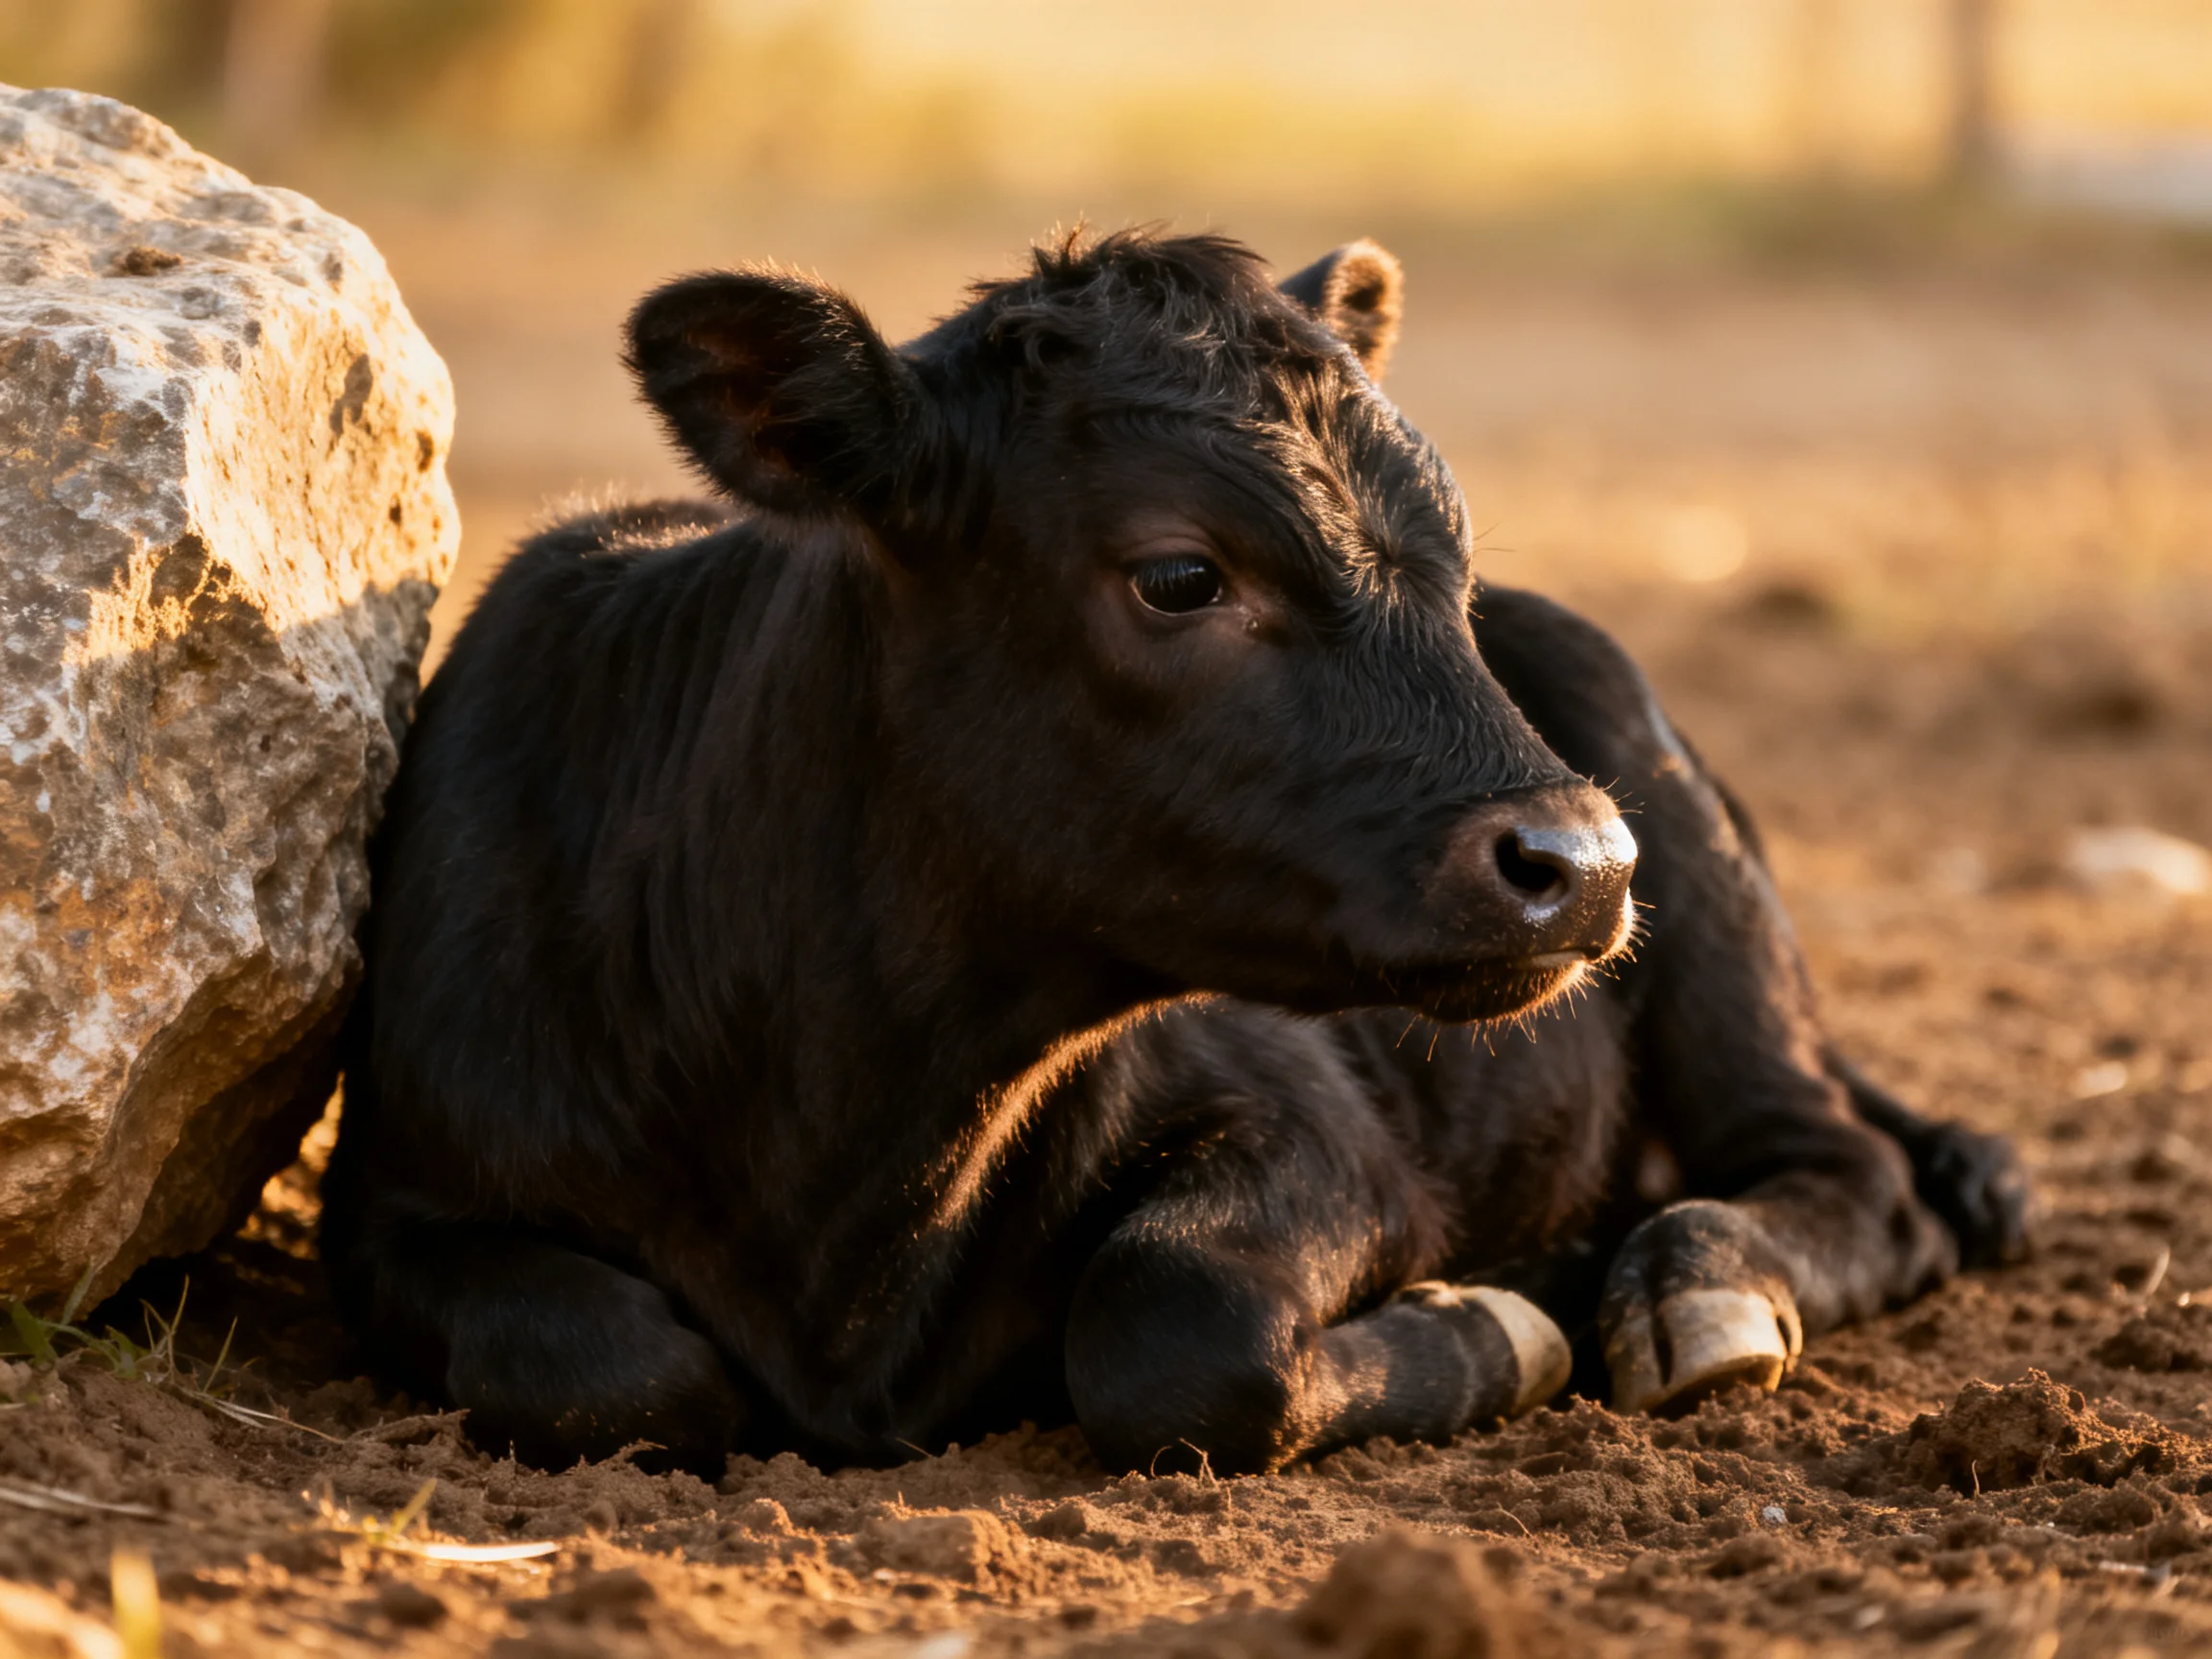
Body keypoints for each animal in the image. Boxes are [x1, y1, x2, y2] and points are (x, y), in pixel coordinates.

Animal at [320, 229, 2027, 1480]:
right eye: (1180, 574)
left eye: (1454, 560)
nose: (1583, 863)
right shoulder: (396, 1191)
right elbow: (609, 1368)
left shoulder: (1316, 1127)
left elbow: (1174, 1324)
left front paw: (1503, 1322)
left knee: (1846, 1167)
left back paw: (1699, 1281)